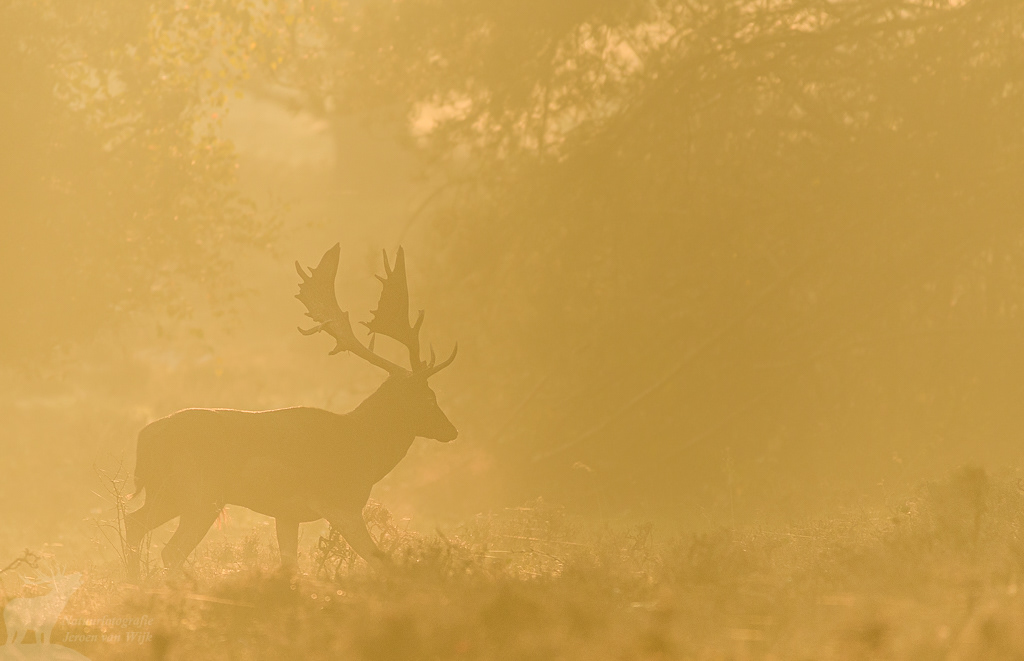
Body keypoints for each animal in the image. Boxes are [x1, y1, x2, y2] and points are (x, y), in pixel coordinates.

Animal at [125, 244, 457, 578]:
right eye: (430, 397)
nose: (451, 430)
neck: (365, 450)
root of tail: (144, 439)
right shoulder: (341, 502)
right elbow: (379, 559)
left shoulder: (287, 513)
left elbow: (290, 563)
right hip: (200, 492)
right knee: (171, 549)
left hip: (167, 492)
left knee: (134, 522)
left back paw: (134, 582)